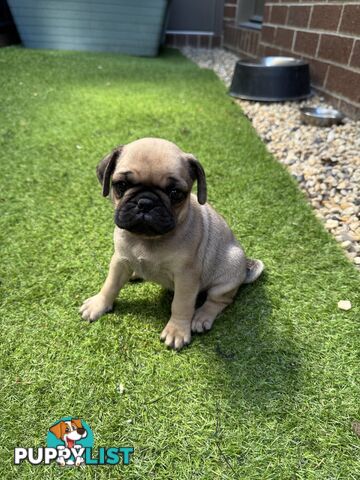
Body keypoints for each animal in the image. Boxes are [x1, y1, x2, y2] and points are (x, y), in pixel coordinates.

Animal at [80, 136, 262, 348]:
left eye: (175, 193)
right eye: (121, 185)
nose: (145, 202)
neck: (147, 239)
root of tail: (244, 270)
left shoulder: (186, 277)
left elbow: (181, 305)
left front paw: (177, 330)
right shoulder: (119, 261)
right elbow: (110, 285)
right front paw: (99, 304)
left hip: (226, 274)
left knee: (219, 300)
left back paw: (201, 317)